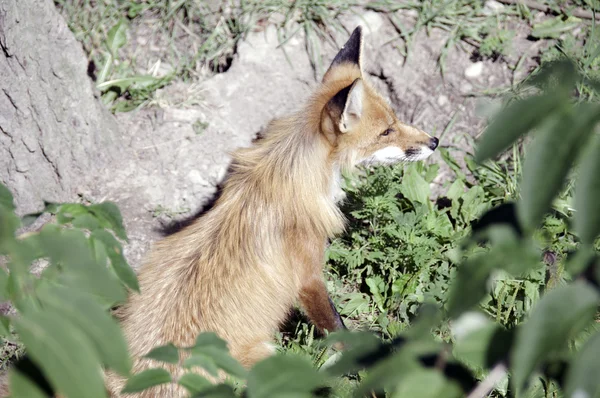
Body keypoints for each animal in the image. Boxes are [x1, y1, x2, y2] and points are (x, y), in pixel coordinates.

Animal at [105, 26, 438, 396]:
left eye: (396, 119)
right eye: (386, 131)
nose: (434, 142)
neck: (285, 171)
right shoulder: (307, 276)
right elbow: (337, 328)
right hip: (266, 356)